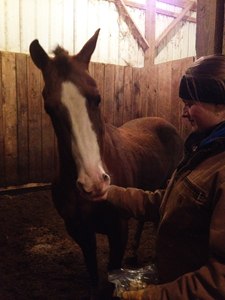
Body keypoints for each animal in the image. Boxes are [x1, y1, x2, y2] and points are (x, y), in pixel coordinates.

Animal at [29, 28, 184, 292]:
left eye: (98, 97)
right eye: (49, 108)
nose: (94, 183)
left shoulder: (118, 231)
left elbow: (113, 273)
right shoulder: (80, 232)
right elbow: (93, 272)